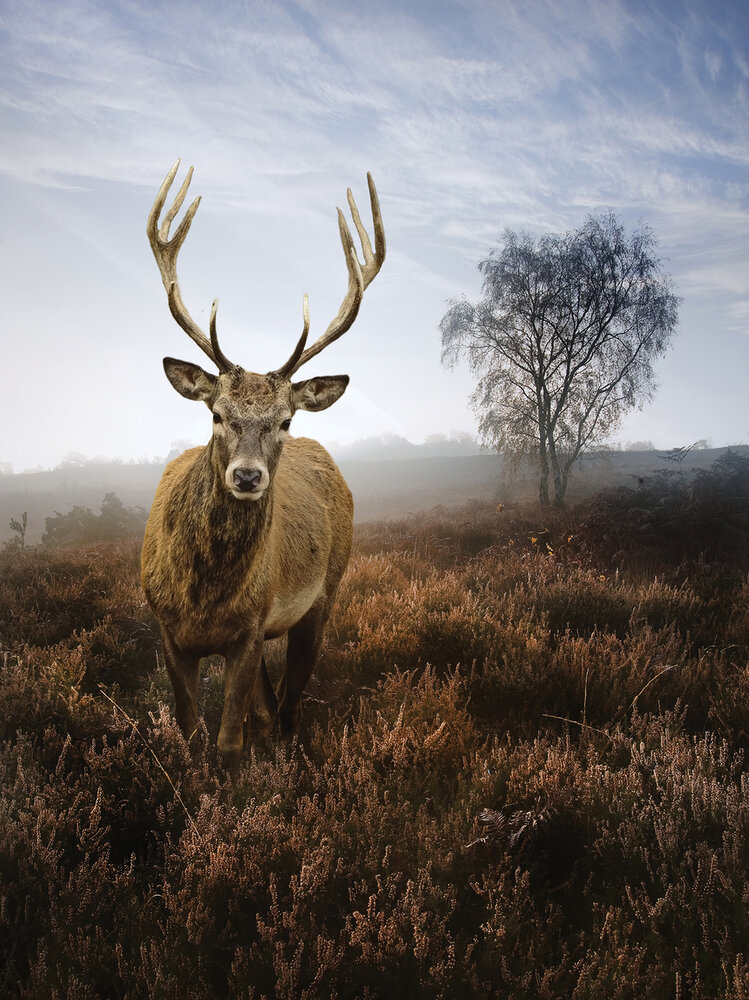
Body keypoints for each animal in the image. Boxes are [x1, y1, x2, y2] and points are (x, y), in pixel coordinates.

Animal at [141, 162, 385, 764]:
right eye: (216, 414)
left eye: (285, 421)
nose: (248, 475)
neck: (204, 597)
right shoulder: (168, 629)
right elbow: (190, 731)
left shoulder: (250, 629)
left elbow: (229, 741)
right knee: (270, 708)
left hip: (325, 593)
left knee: (290, 704)